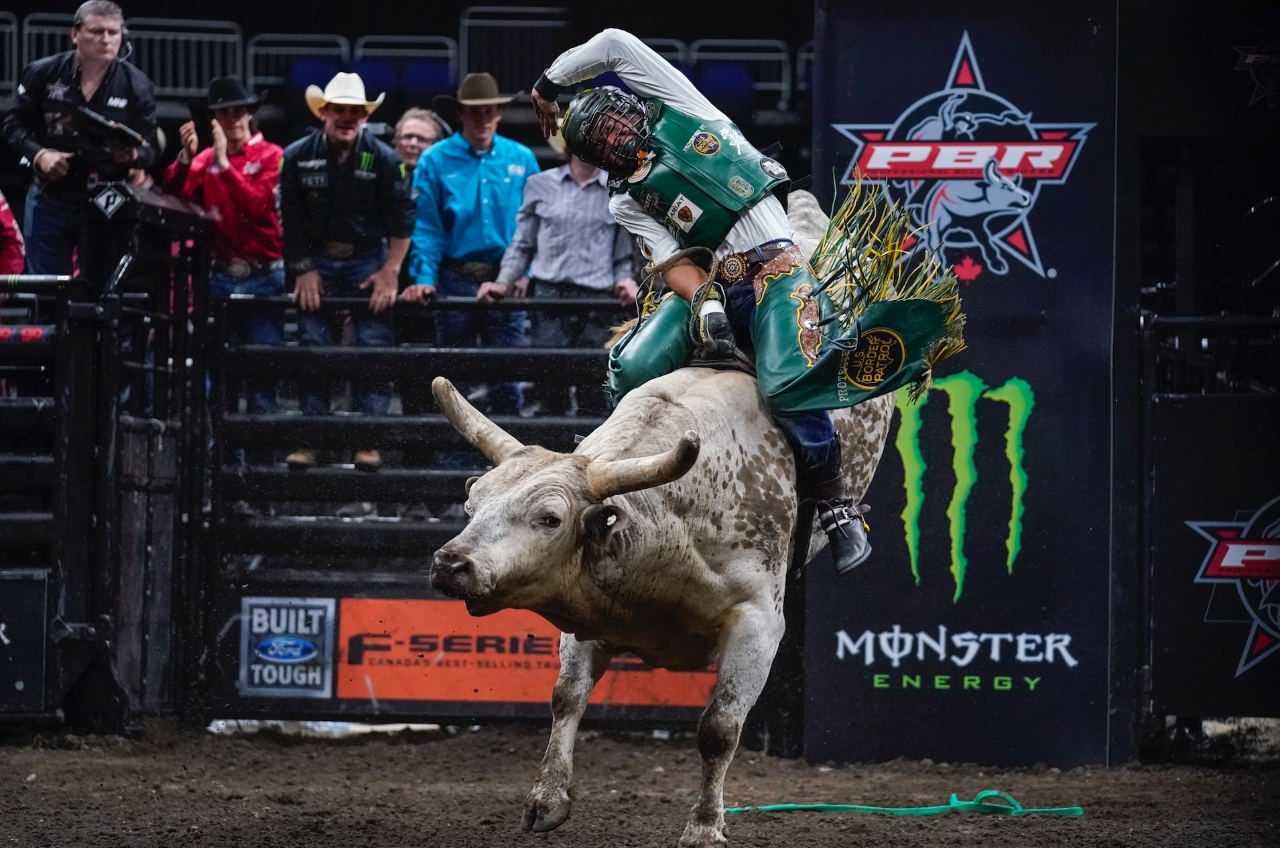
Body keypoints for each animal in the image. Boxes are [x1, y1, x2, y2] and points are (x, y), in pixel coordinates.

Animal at [424, 195, 896, 845]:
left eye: (550, 518)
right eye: (472, 504)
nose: (452, 564)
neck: (667, 525)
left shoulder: (758, 624)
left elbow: (719, 728)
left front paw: (704, 828)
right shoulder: (585, 610)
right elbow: (566, 696)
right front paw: (547, 801)